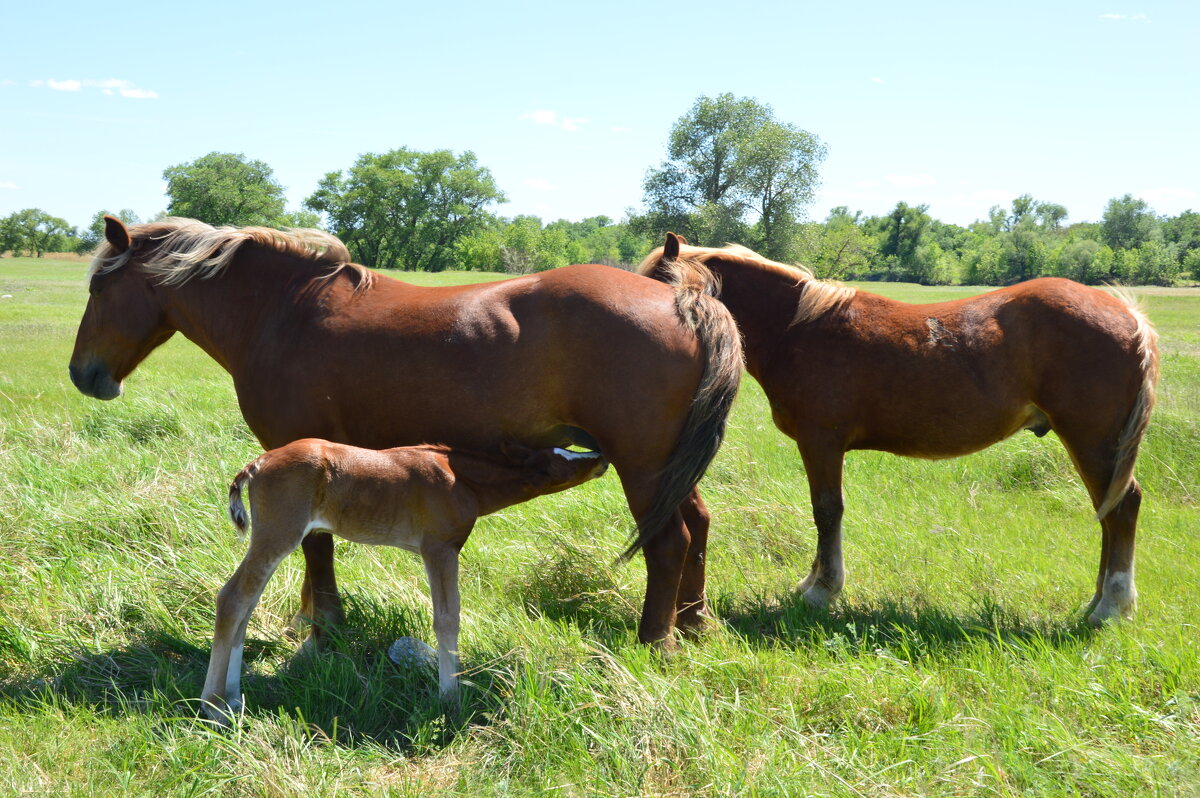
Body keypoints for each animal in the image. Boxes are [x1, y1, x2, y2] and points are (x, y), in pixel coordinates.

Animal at [70, 218, 739, 648]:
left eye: (99, 287)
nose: (83, 373)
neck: (282, 312)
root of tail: (683, 301)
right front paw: (312, 617)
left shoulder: (302, 452)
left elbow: (317, 545)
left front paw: (326, 623)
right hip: (668, 467)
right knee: (699, 526)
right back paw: (693, 624)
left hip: (642, 466)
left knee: (670, 542)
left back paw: (656, 641)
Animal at [201, 439, 609, 724]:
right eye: (558, 460)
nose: (601, 455)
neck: (463, 480)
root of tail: (256, 464)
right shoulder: (439, 548)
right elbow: (447, 619)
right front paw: (449, 699)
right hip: (279, 533)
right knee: (233, 598)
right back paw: (213, 705)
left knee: (247, 602)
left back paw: (232, 696)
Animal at [643, 234, 1156, 624]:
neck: (797, 328)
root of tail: (1129, 317)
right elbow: (824, 513)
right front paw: (810, 582)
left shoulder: (821, 441)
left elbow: (826, 511)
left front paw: (822, 591)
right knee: (1110, 512)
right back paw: (1099, 602)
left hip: (1092, 441)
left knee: (1121, 508)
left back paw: (1111, 607)